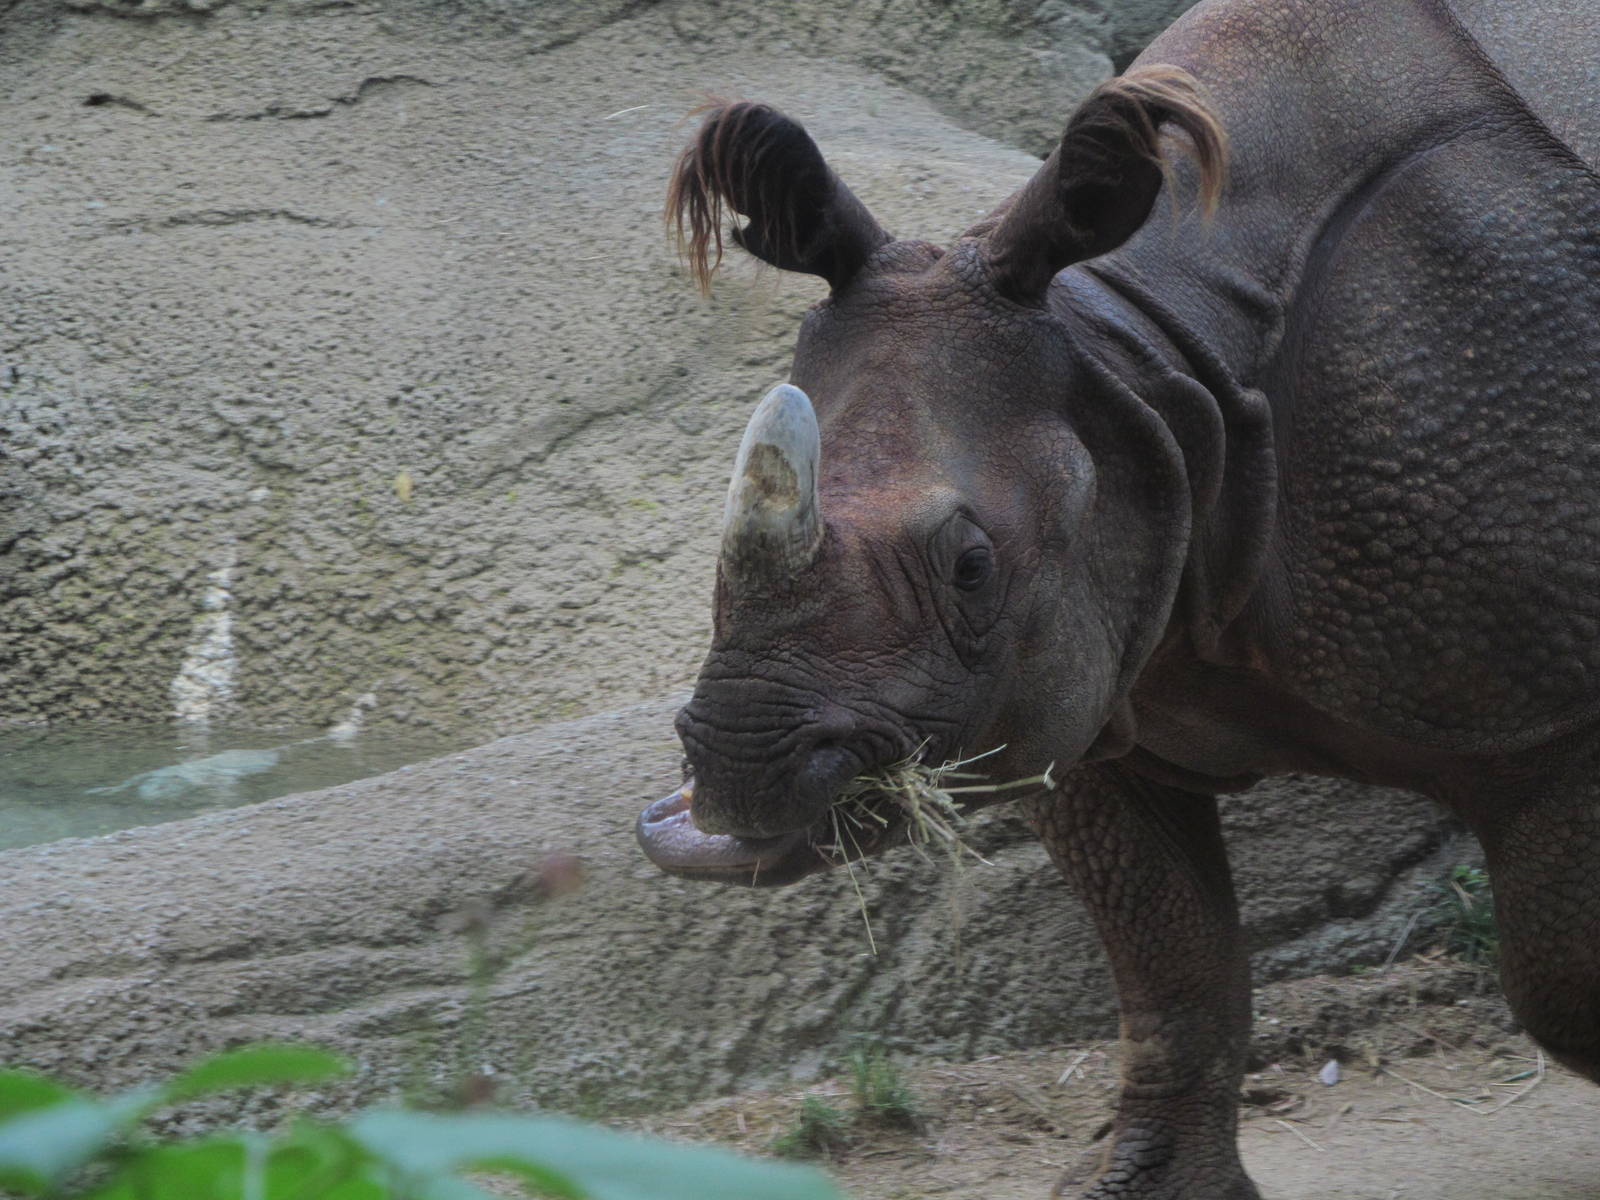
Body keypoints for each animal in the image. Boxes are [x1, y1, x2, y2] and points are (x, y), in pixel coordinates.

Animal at [635, 0, 1600, 1194]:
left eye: (970, 566)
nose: (735, 777)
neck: (1152, 359)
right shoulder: (1078, 677)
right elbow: (1170, 960)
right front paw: (1144, 1180)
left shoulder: (1553, 705)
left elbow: (1562, 983)